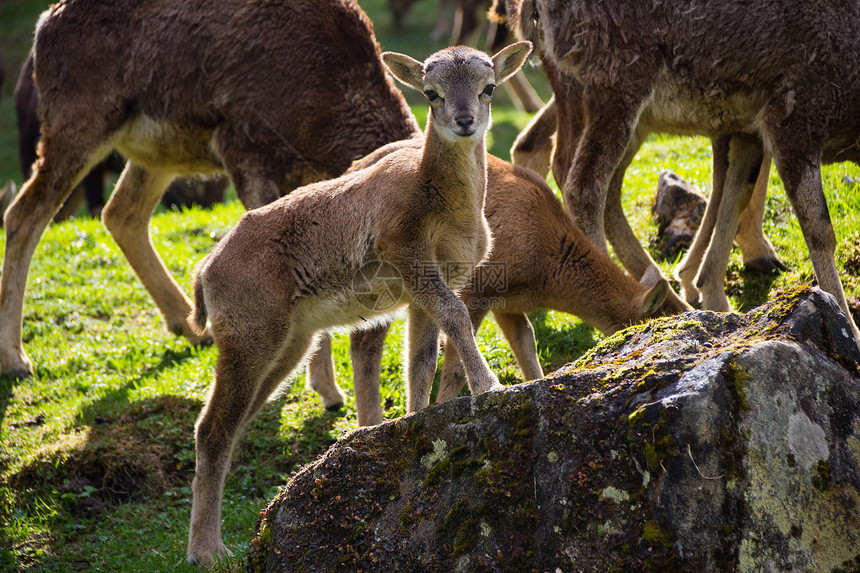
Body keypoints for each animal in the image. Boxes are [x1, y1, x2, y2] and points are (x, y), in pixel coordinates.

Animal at [186, 43, 532, 564]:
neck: (443, 204)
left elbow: (421, 360)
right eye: (430, 93)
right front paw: (489, 385)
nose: (465, 121)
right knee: (210, 430)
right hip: (250, 335)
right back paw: (208, 551)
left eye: (488, 87)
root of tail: (206, 272)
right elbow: (455, 316)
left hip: (290, 343)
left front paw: (414, 420)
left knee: (234, 424)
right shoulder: (408, 255)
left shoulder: (420, 293)